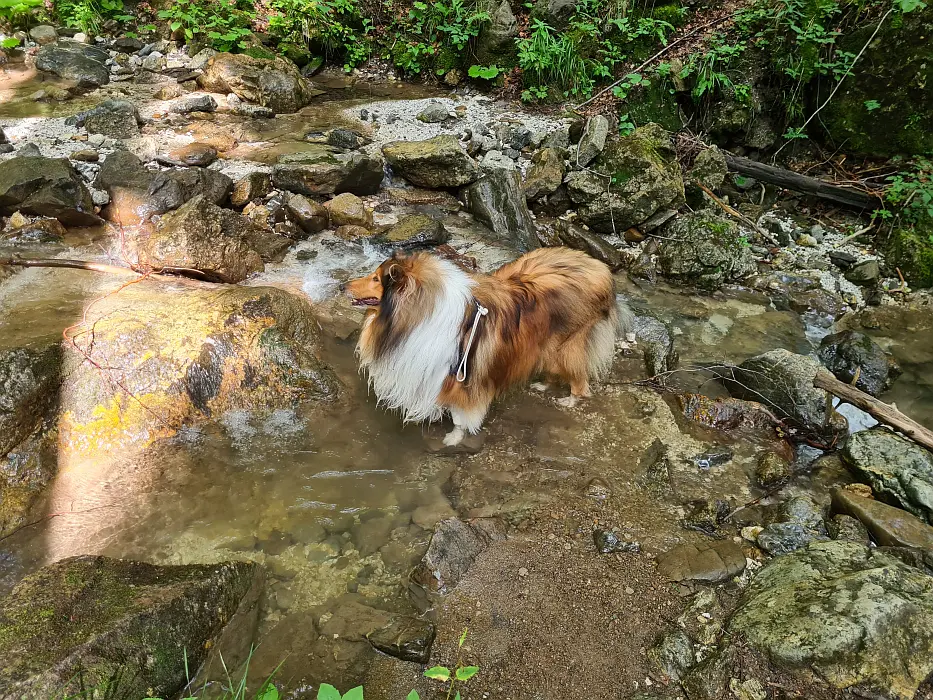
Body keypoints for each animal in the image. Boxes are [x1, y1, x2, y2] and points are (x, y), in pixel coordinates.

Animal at [342, 243, 632, 446]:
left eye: (376, 279)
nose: (344, 285)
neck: (415, 315)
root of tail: (599, 267)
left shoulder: (462, 377)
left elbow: (461, 416)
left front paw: (454, 437)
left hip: (567, 345)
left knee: (581, 382)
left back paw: (569, 400)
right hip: (544, 345)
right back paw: (543, 385)